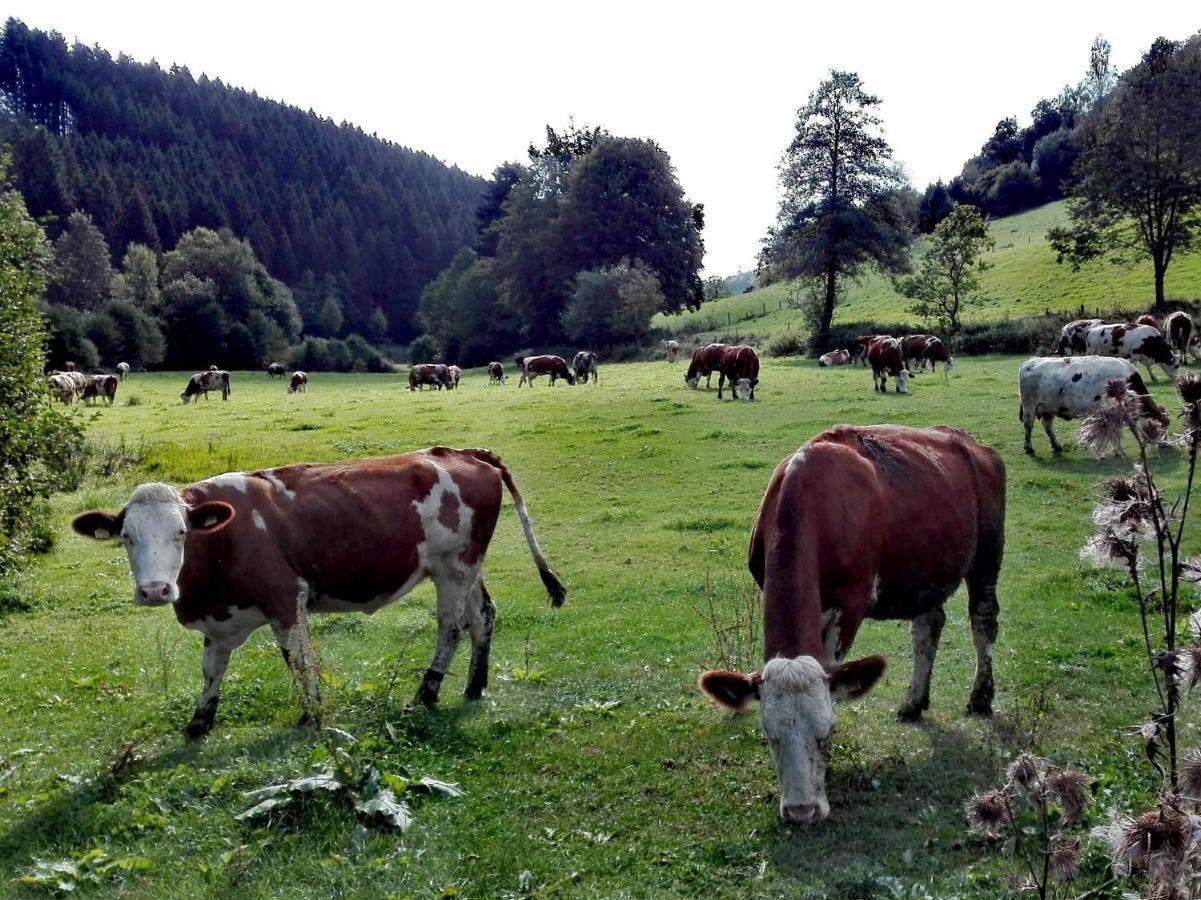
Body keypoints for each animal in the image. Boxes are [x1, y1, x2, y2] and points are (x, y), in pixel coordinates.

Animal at [70, 446, 566, 735]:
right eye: (127, 537)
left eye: (180, 532)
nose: (156, 590)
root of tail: (462, 452)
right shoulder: (220, 619)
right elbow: (212, 669)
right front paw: (200, 720)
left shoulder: (285, 599)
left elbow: (298, 660)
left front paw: (311, 713)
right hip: (467, 564)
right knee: (482, 617)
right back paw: (475, 687)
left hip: (453, 567)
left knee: (451, 628)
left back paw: (426, 693)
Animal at [701, 425, 1008, 826]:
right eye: (770, 736)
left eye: (827, 731)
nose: (801, 811)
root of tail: (972, 442)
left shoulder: (850, 606)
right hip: (925, 570)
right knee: (927, 628)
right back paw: (913, 702)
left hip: (988, 554)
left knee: (983, 621)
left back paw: (980, 697)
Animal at [1018, 355, 1167, 456]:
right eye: (1163, 426)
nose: (1166, 445)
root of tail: (1030, 362)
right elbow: (1114, 431)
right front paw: (1118, 451)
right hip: (1029, 406)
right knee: (1028, 425)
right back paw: (1029, 448)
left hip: (1048, 409)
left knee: (1048, 427)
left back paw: (1057, 446)